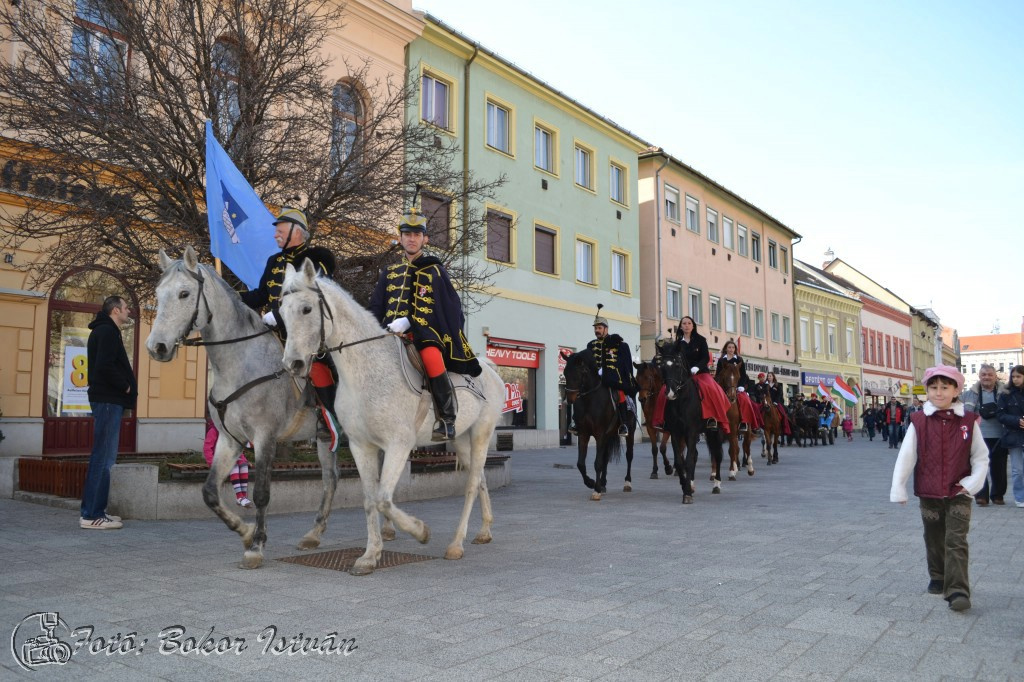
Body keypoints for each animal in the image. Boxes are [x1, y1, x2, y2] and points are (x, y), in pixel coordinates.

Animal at [144, 246, 339, 565]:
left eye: (184, 293)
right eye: (158, 293)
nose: (156, 347)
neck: (241, 363)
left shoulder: (264, 438)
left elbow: (261, 493)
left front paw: (256, 545)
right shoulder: (230, 439)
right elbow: (210, 492)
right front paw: (245, 531)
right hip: (325, 437)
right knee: (330, 480)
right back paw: (314, 534)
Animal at [278, 259, 505, 573]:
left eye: (307, 309)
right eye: (281, 312)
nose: (293, 364)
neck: (364, 372)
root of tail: (488, 368)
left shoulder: (399, 444)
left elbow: (384, 499)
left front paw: (420, 531)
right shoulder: (362, 446)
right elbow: (370, 499)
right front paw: (370, 554)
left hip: (482, 433)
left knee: (471, 484)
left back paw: (456, 544)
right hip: (461, 439)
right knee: (480, 478)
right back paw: (484, 531)